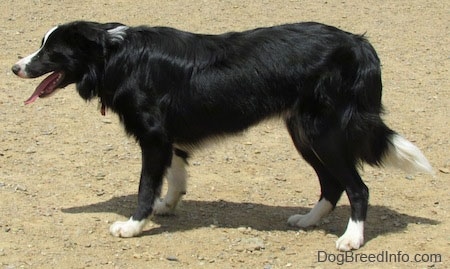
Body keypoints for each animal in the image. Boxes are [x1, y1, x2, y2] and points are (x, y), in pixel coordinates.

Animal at [10, 20, 432, 249]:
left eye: (50, 51)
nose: (15, 67)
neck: (115, 56)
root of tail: (358, 43)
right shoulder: (168, 138)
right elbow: (177, 175)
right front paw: (168, 206)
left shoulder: (153, 137)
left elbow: (145, 186)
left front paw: (132, 225)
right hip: (303, 131)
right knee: (332, 183)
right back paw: (309, 220)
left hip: (323, 131)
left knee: (358, 187)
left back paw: (352, 239)